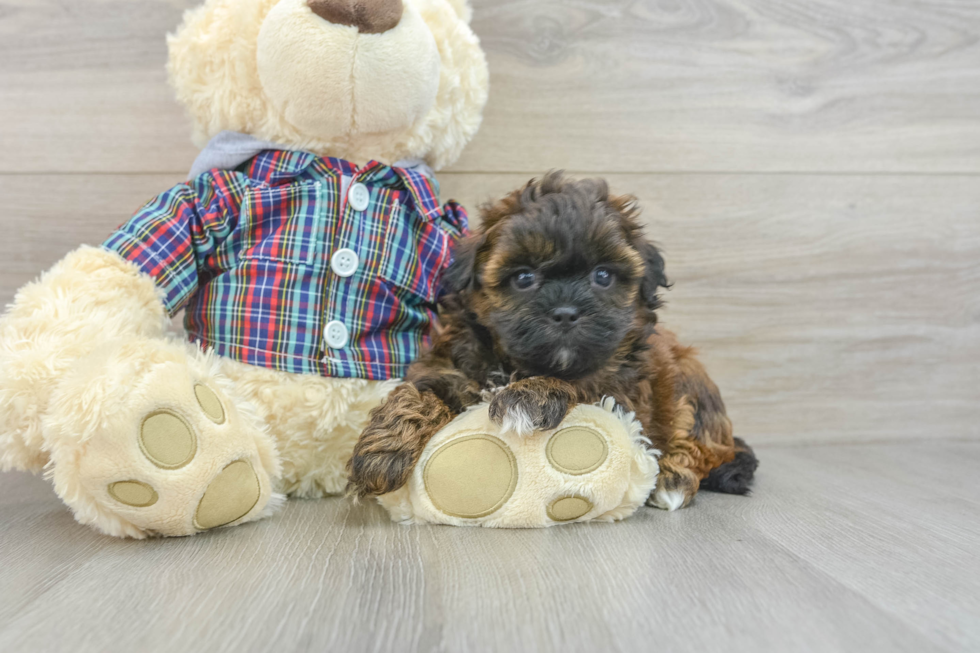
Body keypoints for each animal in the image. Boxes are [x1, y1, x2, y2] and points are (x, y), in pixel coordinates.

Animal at [346, 172, 756, 510]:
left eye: (603, 276)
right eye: (523, 278)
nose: (565, 312)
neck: (515, 364)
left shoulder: (622, 392)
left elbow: (580, 383)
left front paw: (529, 396)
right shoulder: (450, 367)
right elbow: (417, 393)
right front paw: (382, 451)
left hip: (689, 382)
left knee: (700, 445)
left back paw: (673, 480)